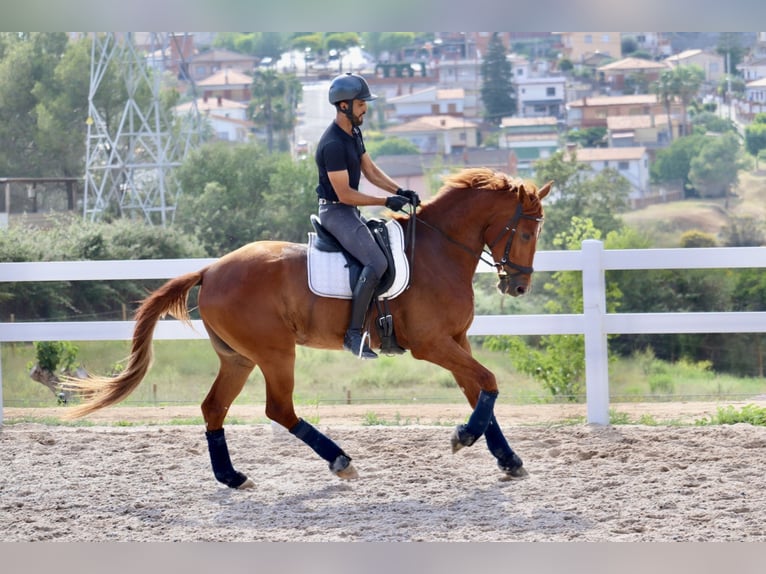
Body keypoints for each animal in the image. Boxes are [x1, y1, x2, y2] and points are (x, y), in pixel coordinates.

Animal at [63, 168, 548, 490]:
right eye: (526, 232)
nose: (519, 286)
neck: (439, 251)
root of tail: (211, 270)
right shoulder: (431, 344)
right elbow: (489, 381)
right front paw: (464, 437)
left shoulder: (456, 340)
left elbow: (480, 391)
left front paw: (507, 458)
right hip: (276, 353)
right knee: (279, 409)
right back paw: (340, 461)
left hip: (238, 358)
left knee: (214, 408)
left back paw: (232, 476)